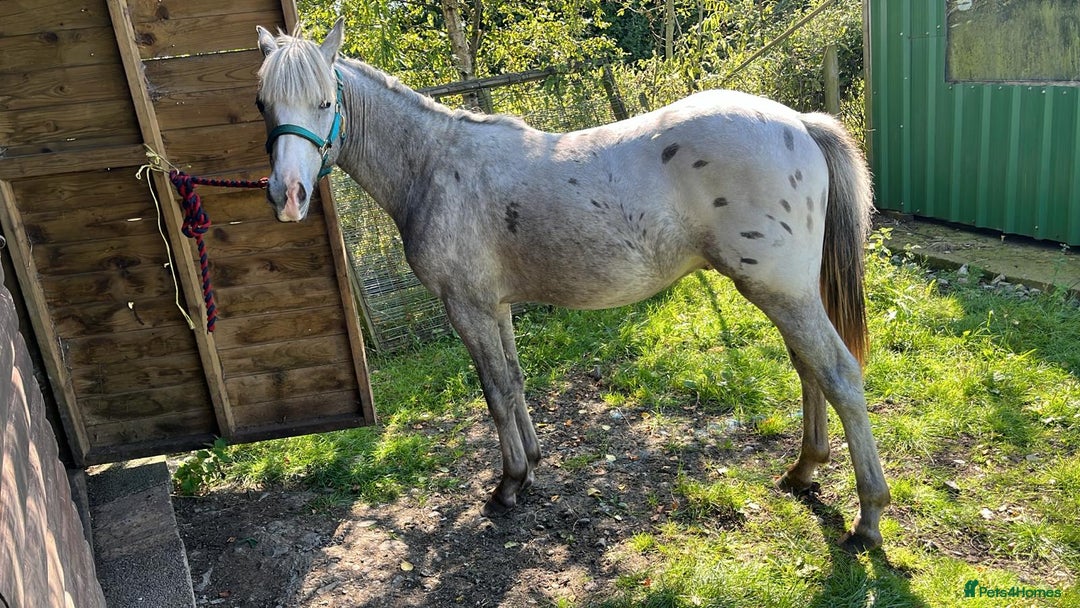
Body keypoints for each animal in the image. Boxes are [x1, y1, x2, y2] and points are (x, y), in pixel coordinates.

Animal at [254, 18, 890, 552]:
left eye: (325, 101)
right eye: (263, 104)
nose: (288, 196)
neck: (434, 167)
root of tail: (798, 123)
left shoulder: (468, 308)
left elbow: (495, 393)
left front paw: (510, 484)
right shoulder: (498, 308)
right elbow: (514, 382)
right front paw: (533, 463)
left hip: (780, 290)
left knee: (838, 373)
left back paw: (868, 517)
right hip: (787, 294)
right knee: (809, 368)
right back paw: (804, 469)